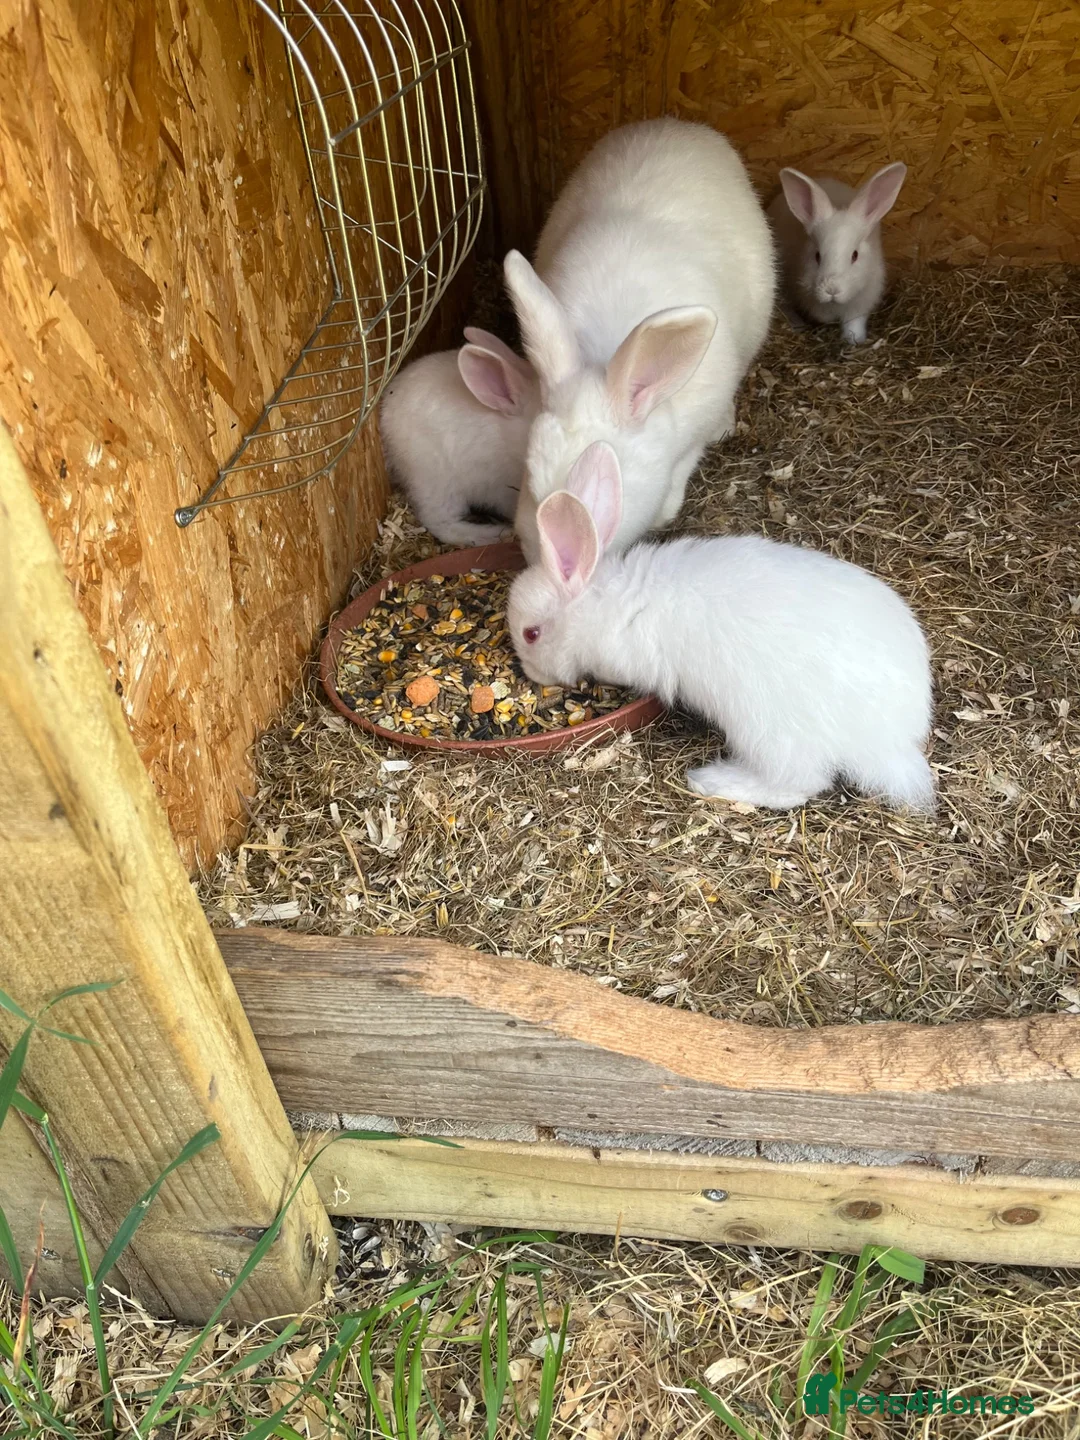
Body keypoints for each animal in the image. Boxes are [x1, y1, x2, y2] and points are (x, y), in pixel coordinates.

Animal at [507, 442, 934, 812]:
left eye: (531, 634)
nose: (531, 674)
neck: (604, 602)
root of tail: (892, 741)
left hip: (766, 731)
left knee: (797, 784)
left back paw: (714, 781)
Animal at [767, 162, 907, 344]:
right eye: (817, 255)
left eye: (855, 255)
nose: (831, 290)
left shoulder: (861, 304)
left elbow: (854, 324)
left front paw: (854, 341)